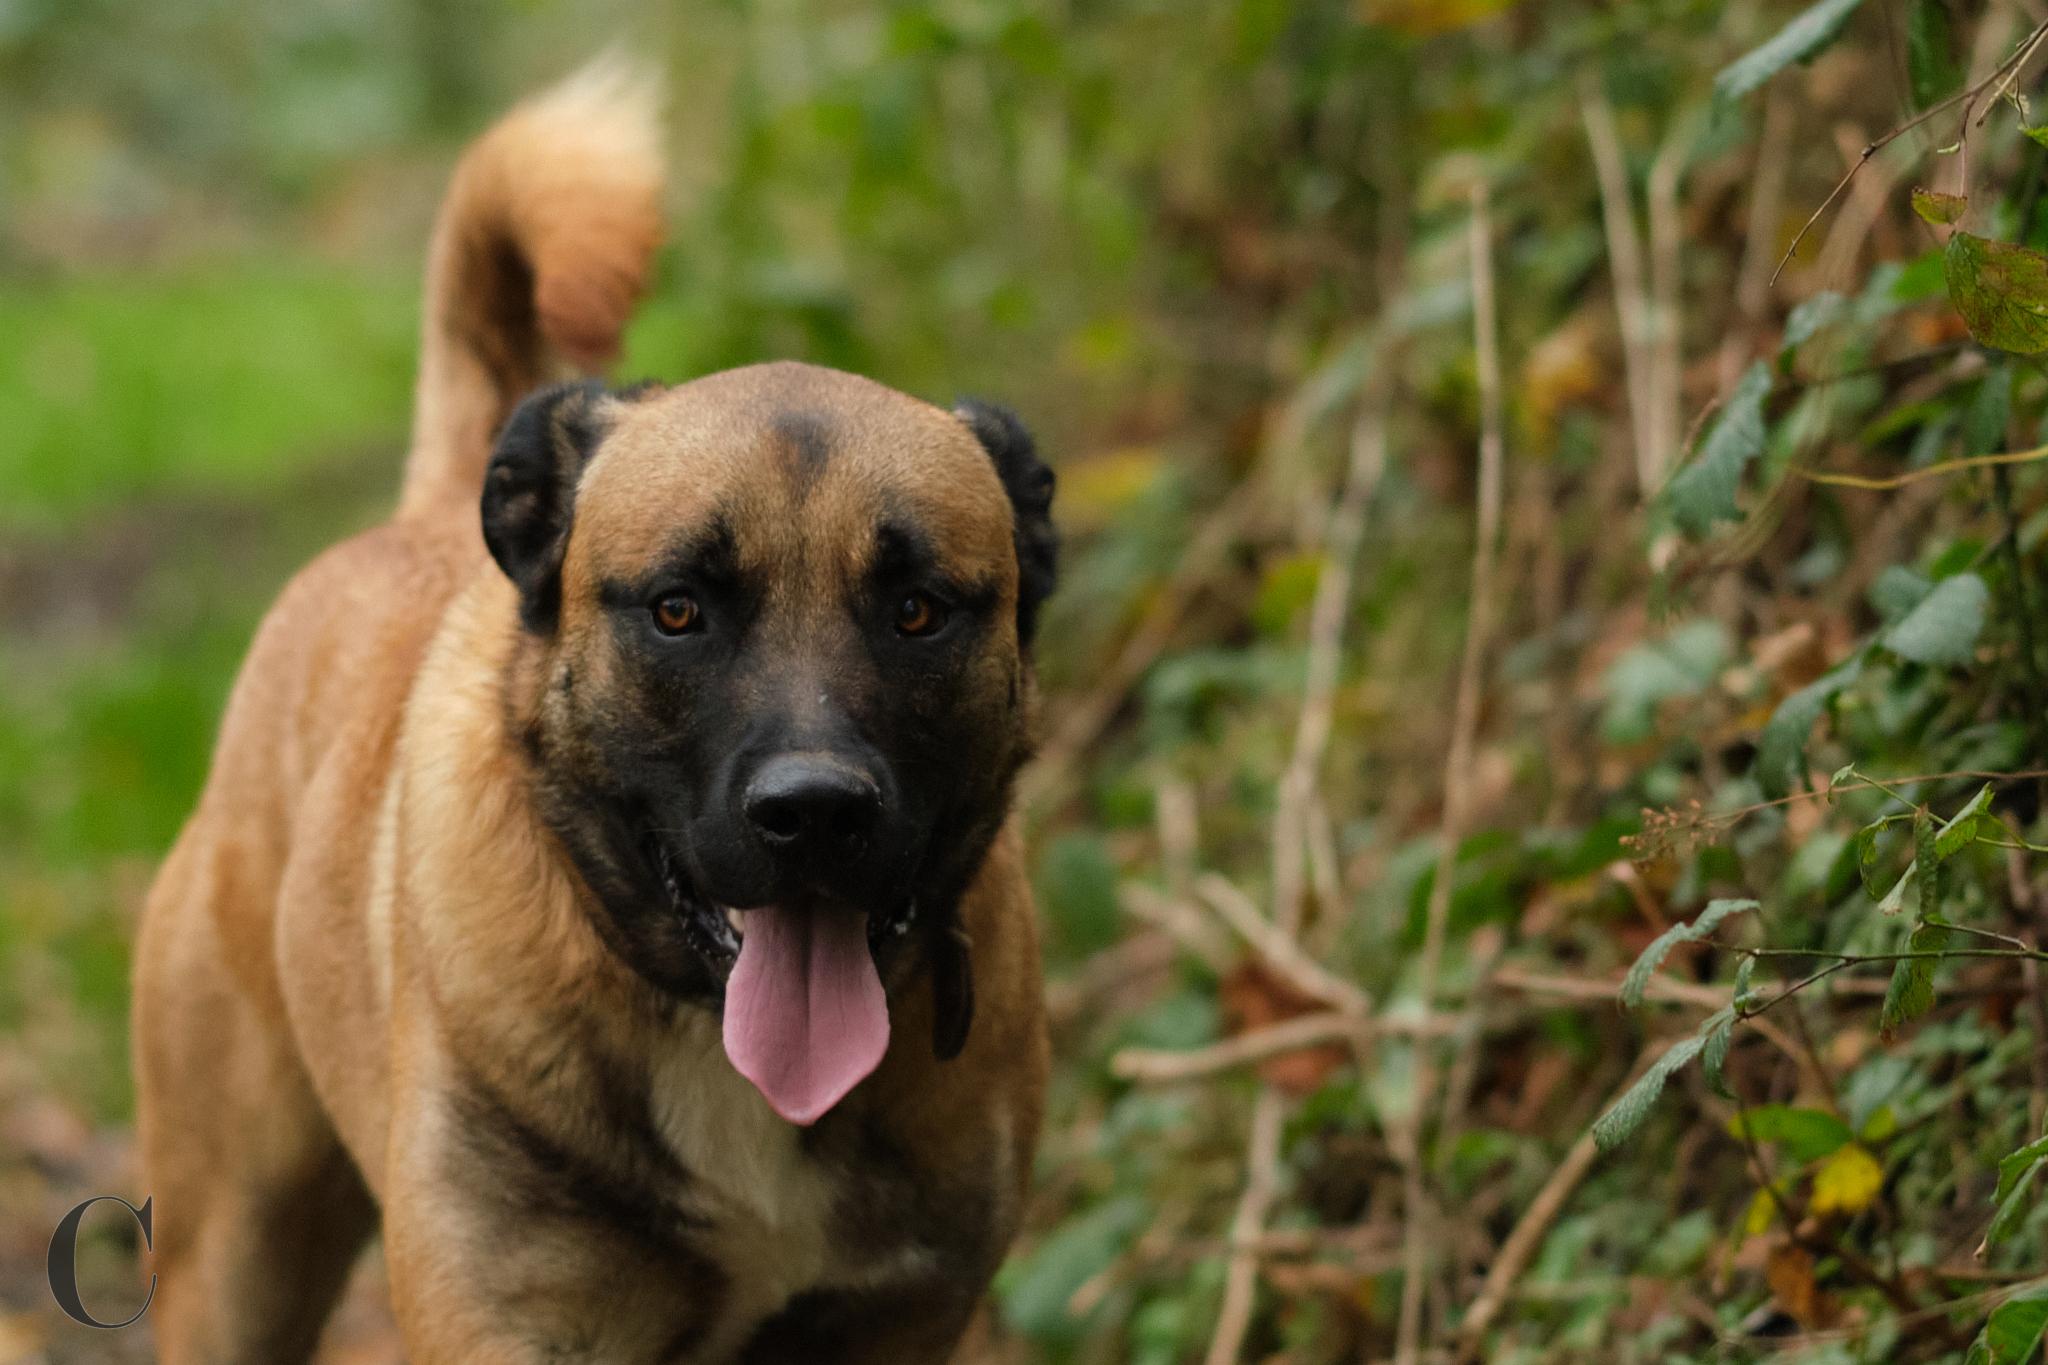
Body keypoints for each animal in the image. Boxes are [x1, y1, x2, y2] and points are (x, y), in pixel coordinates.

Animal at [132, 63, 1056, 1365]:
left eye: (917, 610)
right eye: (676, 610)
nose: (816, 814)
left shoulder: (901, 1318)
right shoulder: (509, 1320)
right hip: (234, 1251)